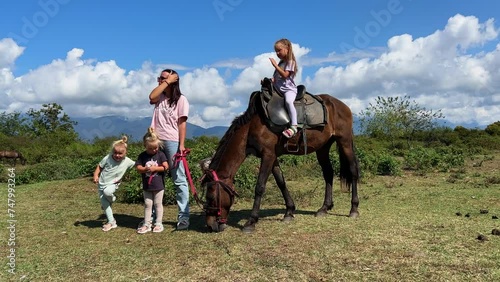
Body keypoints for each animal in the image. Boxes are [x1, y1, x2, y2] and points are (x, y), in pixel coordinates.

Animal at [199, 90, 360, 234]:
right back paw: (324, 208)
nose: (210, 226)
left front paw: (251, 221)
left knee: (353, 170)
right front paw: (289, 212)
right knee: (328, 173)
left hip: (344, 141)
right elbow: (281, 182)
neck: (252, 126)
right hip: (323, 148)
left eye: (210, 197)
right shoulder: (273, 156)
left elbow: (259, 187)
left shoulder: (268, 155)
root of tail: (343, 106)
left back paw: (353, 209)